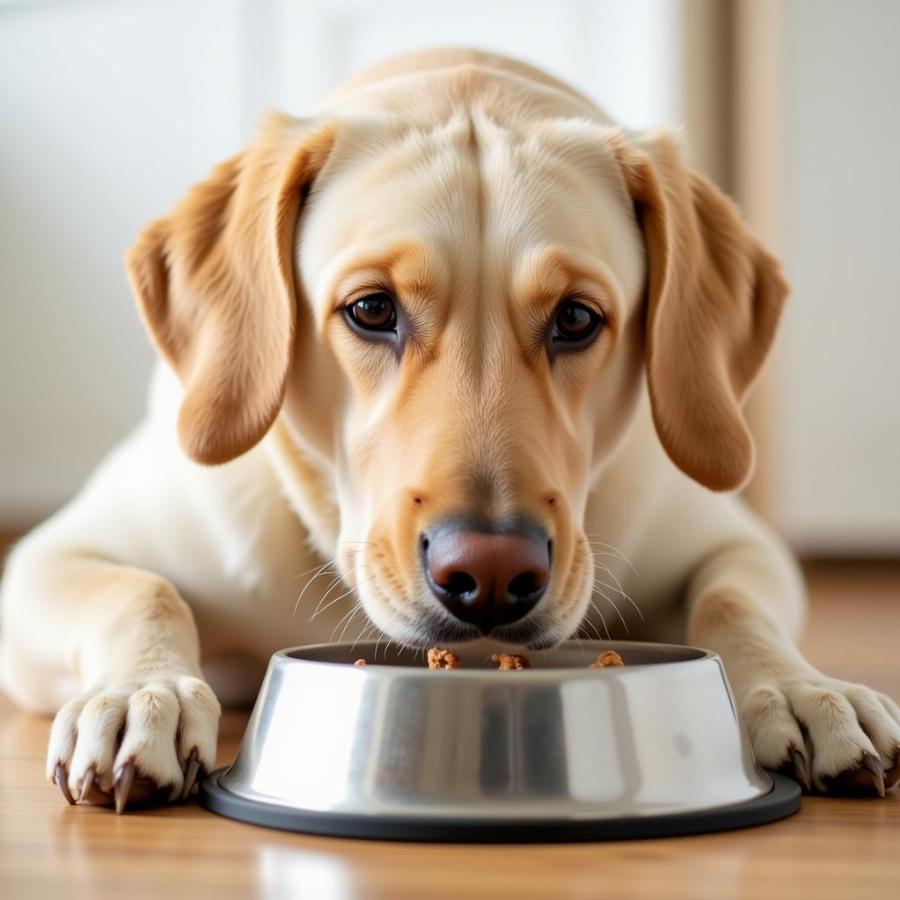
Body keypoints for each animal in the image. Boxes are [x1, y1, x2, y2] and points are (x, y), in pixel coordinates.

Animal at [0, 47, 896, 808]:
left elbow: (734, 601)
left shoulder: (739, 543)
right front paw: (139, 694)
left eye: (577, 319)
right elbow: (142, 590)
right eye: (371, 310)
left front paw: (803, 688)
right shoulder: (45, 562)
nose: (491, 573)